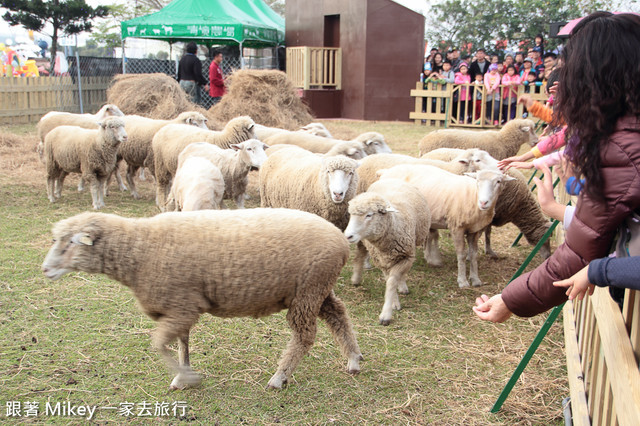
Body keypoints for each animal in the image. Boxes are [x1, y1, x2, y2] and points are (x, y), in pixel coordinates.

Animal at [42, 209, 364, 390]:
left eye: (70, 242)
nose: (45, 269)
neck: (139, 249)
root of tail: (340, 239)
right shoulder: (179, 307)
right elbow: (182, 344)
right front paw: (182, 377)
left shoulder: (182, 308)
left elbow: (159, 345)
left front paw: (188, 378)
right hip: (315, 289)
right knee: (338, 314)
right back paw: (353, 359)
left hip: (308, 291)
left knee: (305, 335)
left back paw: (279, 377)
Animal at [344, 178, 430, 324]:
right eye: (351, 215)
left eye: (369, 215)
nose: (348, 236)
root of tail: (391, 179)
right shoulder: (381, 261)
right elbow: (389, 280)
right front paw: (394, 303)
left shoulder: (407, 257)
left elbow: (392, 281)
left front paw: (386, 314)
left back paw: (403, 287)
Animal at [378, 165, 512, 288]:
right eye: (477, 181)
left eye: (499, 181)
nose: (483, 202)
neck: (473, 196)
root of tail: (387, 171)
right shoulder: (457, 227)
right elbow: (462, 255)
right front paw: (462, 281)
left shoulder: (474, 230)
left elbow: (474, 255)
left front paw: (475, 279)